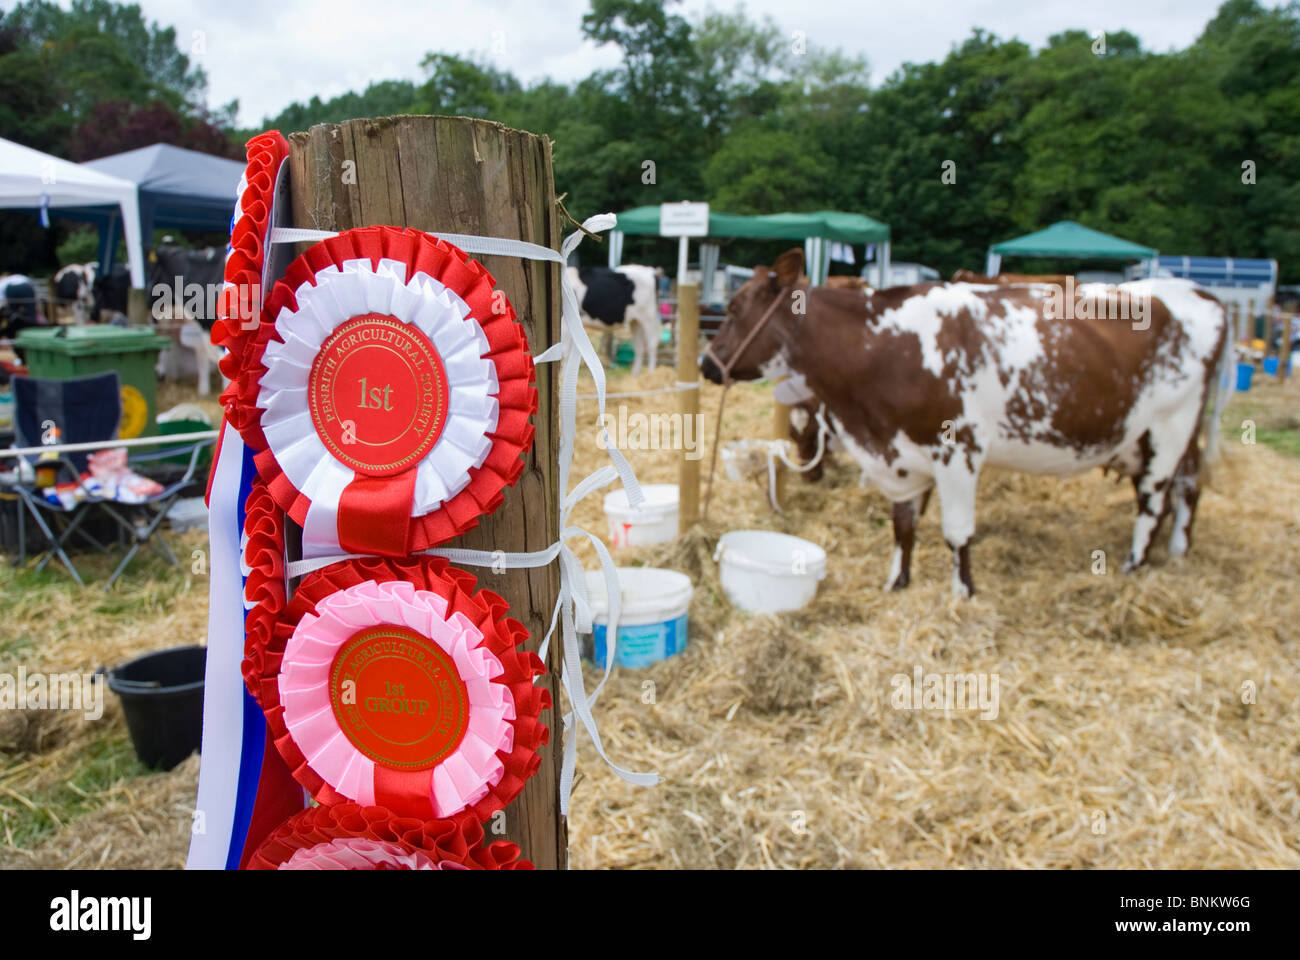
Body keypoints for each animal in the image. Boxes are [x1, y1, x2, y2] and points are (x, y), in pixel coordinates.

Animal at [707, 248, 1222, 590]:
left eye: (733, 309)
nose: (706, 365)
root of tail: (1198, 291)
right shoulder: (902, 452)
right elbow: (904, 525)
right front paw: (897, 584)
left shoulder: (958, 450)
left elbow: (957, 533)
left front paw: (963, 593)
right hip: (1162, 434)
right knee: (1188, 485)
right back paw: (1178, 551)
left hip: (1170, 425)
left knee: (1154, 498)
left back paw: (1134, 565)